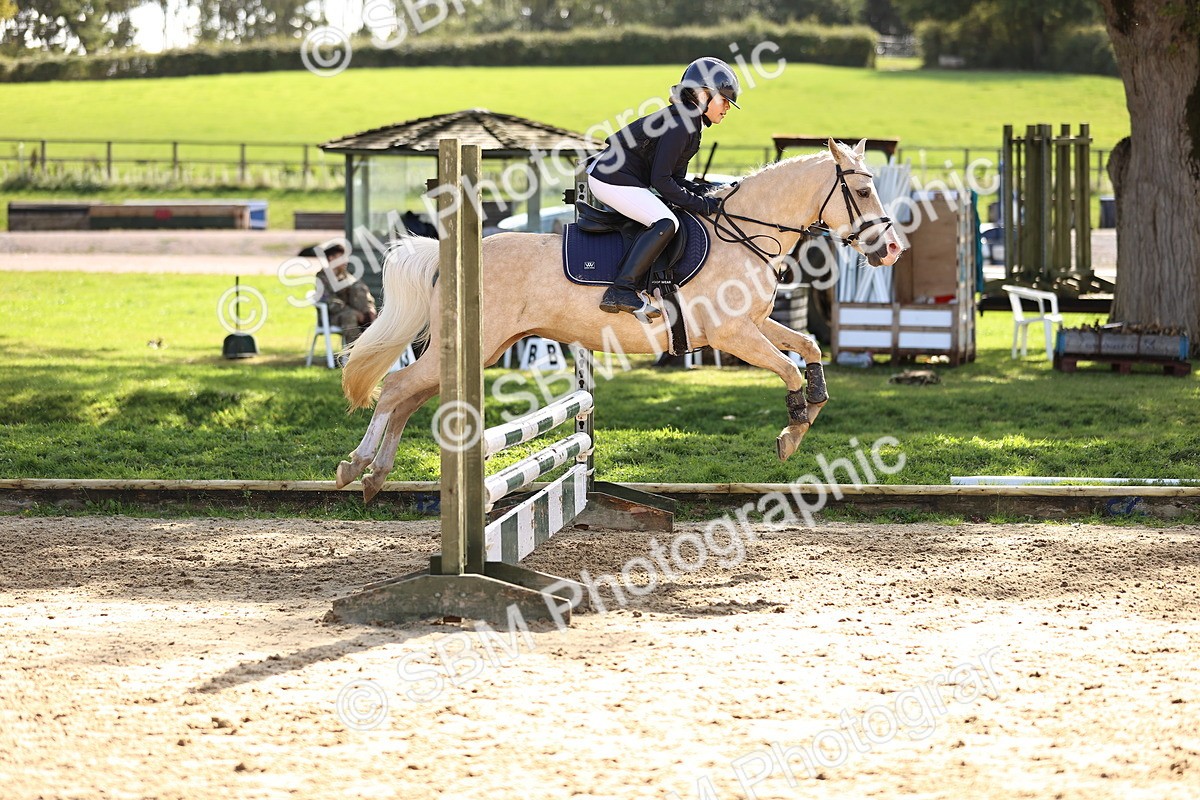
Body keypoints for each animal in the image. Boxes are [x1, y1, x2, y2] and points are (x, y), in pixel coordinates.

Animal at [337, 138, 905, 501]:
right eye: (862, 190)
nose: (892, 249)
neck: (744, 234)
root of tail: (445, 255)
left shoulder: (754, 325)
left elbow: (807, 346)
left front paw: (813, 406)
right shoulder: (733, 334)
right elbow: (787, 368)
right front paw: (792, 431)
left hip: (480, 350)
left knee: (408, 398)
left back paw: (375, 476)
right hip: (470, 346)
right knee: (396, 388)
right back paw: (356, 466)